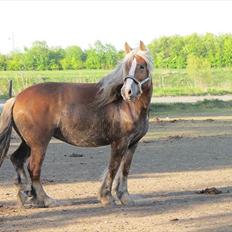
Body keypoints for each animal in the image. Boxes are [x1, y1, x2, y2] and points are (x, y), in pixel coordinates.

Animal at [0, 40, 154, 208]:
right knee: (33, 168)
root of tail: (16, 98)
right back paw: (45, 199)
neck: (126, 106)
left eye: (141, 66)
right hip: (39, 144)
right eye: (127, 66)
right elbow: (113, 168)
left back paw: (27, 194)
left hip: (28, 143)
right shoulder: (119, 142)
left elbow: (125, 169)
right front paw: (106, 197)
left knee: (17, 159)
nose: (127, 92)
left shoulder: (132, 144)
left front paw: (124, 197)